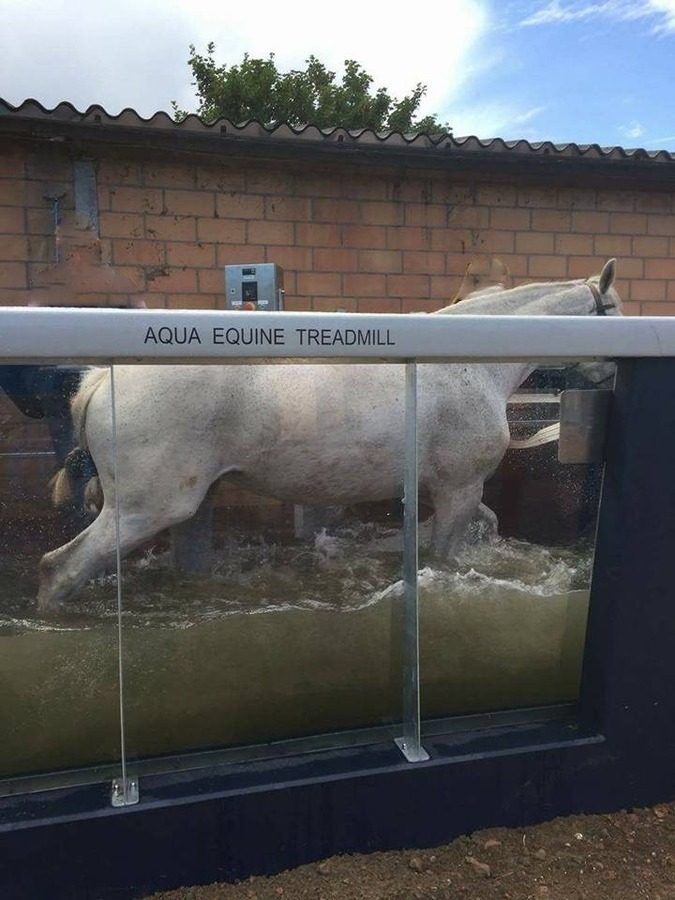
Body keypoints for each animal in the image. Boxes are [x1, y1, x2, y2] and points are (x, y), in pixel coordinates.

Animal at [39, 260, 624, 612]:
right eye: (616, 308)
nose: (614, 374)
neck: (468, 366)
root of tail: (100, 381)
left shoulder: (446, 490)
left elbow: (487, 525)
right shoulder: (459, 488)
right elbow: (448, 555)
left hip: (188, 506)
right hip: (147, 508)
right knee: (60, 569)